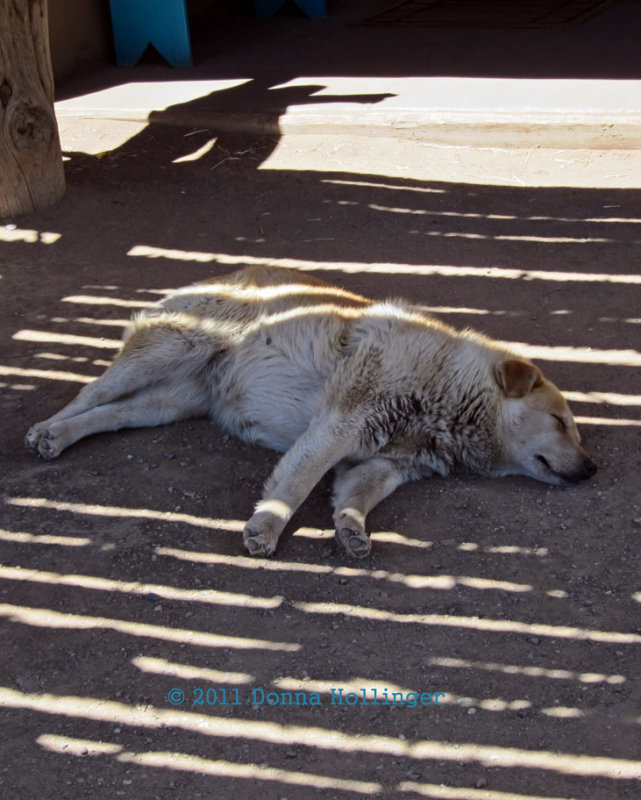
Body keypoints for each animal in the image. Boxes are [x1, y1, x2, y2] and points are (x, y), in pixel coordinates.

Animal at [25, 268, 596, 556]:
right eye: (560, 422)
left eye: (573, 430)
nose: (593, 468)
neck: (446, 394)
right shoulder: (341, 423)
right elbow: (296, 485)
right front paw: (267, 528)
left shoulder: (383, 465)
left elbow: (353, 498)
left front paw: (351, 529)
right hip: (167, 352)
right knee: (88, 394)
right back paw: (45, 431)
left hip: (167, 403)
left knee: (111, 415)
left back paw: (65, 435)